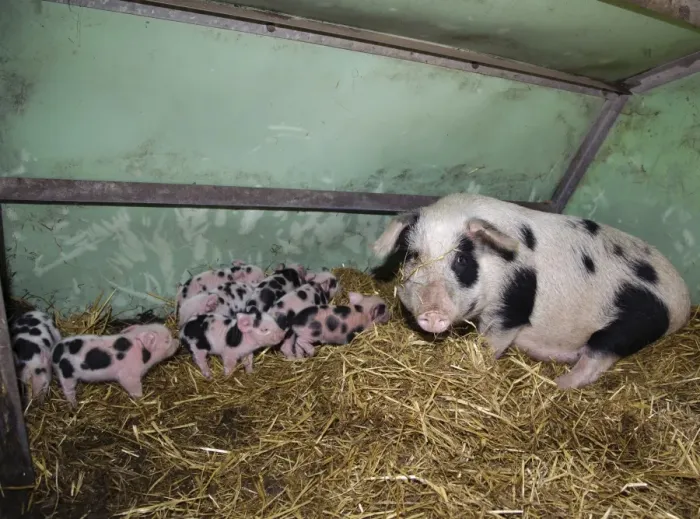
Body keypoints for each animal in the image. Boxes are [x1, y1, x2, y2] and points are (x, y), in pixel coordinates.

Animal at [371, 193, 692, 389]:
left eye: (462, 261)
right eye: (413, 255)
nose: (432, 312)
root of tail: (684, 300)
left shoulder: (512, 306)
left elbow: (492, 342)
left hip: (628, 327)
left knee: (596, 361)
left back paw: (558, 386)